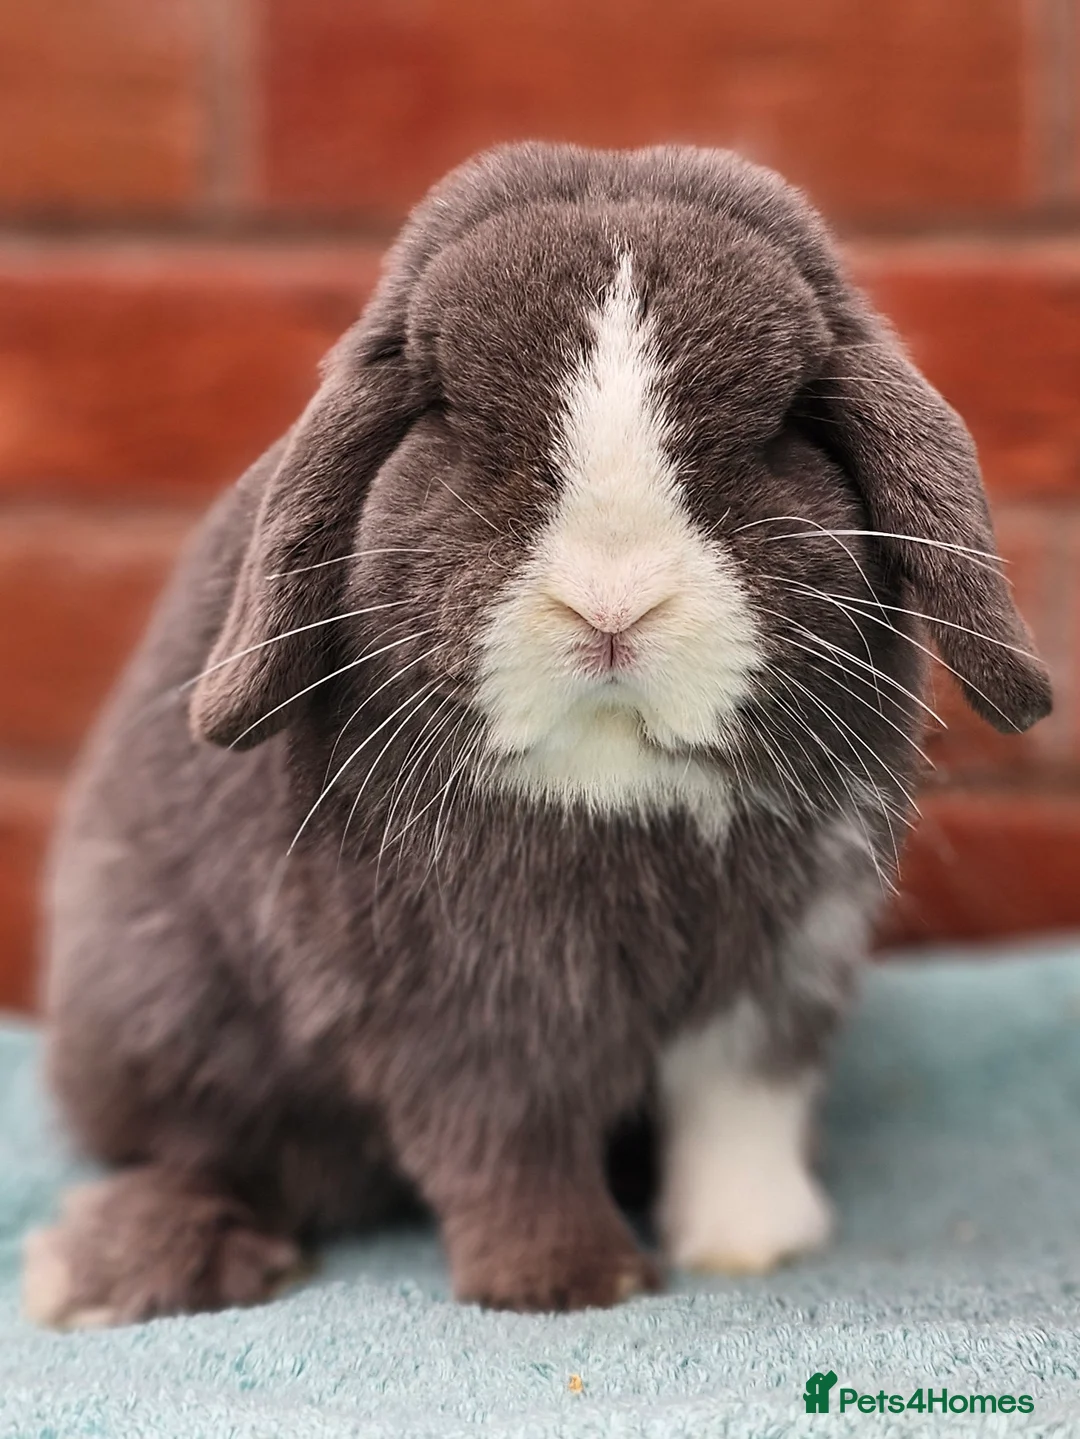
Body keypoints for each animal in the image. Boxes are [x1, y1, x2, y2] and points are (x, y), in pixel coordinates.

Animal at [23, 142, 1050, 1327]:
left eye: (779, 428)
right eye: (453, 420)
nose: (612, 606)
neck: (620, 792)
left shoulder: (779, 973)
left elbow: (738, 1107)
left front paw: (756, 1243)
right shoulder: (459, 1004)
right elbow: (506, 1138)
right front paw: (568, 1284)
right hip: (167, 1024)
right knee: (206, 1151)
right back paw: (118, 1266)